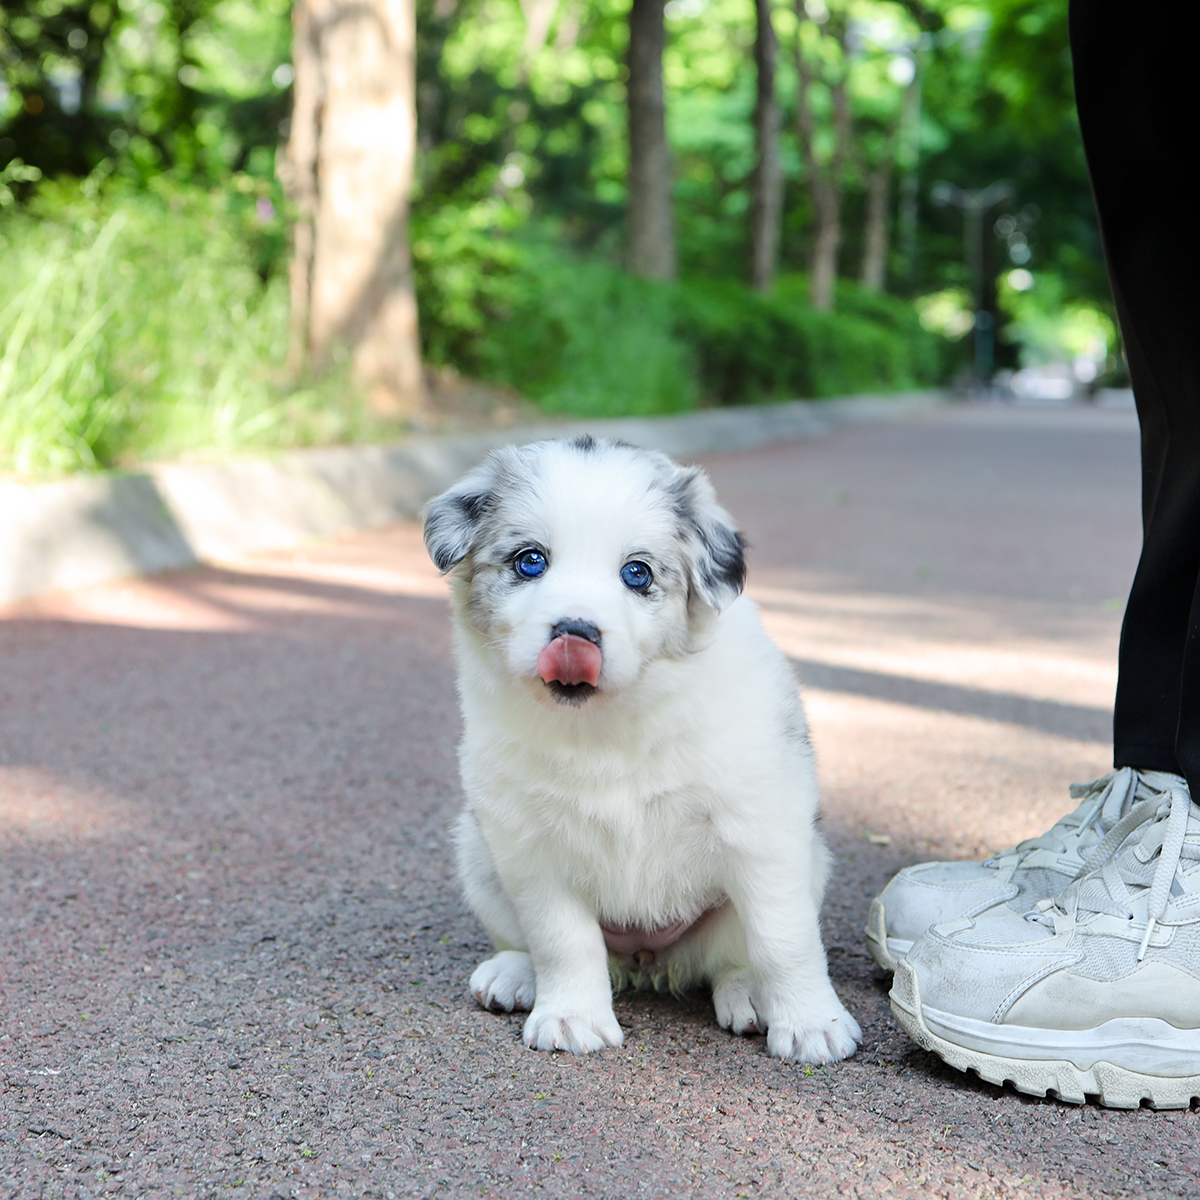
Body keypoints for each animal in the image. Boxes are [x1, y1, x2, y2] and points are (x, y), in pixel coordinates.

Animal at [427, 439, 859, 1060]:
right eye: (530, 562)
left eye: (637, 573)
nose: (576, 633)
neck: (606, 725)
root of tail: (646, 959)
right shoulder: (529, 846)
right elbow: (561, 939)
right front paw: (572, 1017)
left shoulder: (763, 832)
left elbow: (784, 938)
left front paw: (811, 1024)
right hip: (478, 850)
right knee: (529, 942)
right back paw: (513, 973)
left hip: (802, 868)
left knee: (732, 958)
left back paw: (750, 995)